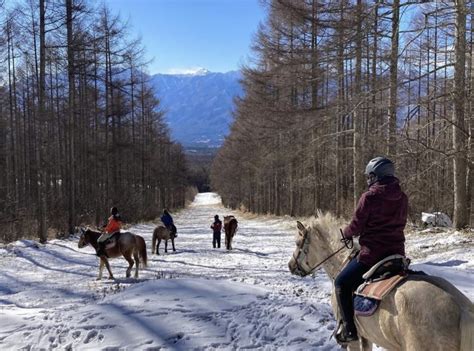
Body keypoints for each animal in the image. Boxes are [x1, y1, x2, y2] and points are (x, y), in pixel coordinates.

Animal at [286, 213, 472, 350]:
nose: (290, 266)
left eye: (297, 242)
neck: (341, 263)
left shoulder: (353, 339)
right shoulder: (367, 337)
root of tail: (462, 309)